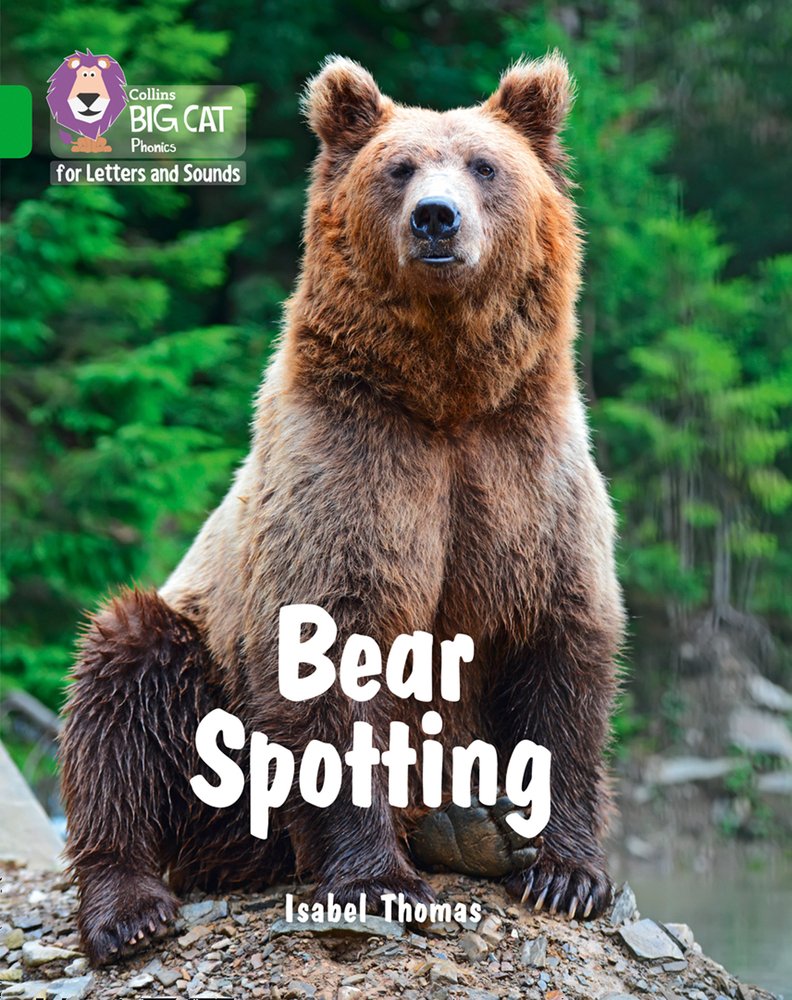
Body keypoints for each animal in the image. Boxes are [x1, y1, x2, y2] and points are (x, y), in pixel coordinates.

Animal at [59, 53, 625, 966]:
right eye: (399, 168)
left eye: (484, 165)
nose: (436, 219)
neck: (445, 397)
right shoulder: (349, 470)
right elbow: (329, 655)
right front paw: (379, 881)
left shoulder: (526, 477)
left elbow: (562, 654)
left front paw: (566, 872)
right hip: (202, 686)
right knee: (122, 687)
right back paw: (129, 907)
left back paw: (466, 827)